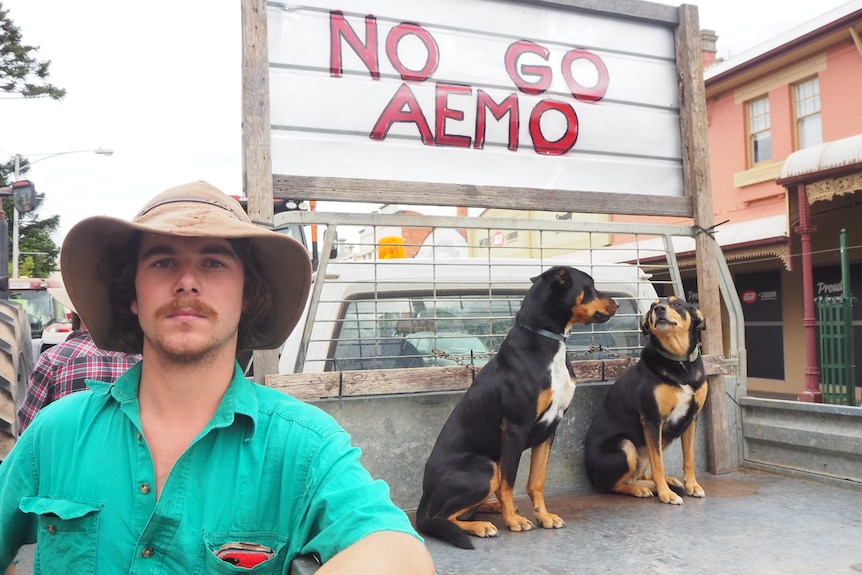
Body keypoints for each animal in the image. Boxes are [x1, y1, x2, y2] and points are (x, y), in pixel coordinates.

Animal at [416, 268, 616, 552]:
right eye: (590, 286)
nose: (616, 304)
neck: (548, 342)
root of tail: (424, 496)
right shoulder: (515, 428)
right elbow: (509, 483)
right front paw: (513, 521)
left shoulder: (549, 429)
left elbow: (536, 481)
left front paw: (543, 517)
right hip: (486, 467)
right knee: (442, 517)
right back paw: (482, 525)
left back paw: (490, 508)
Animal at [584, 296, 704, 504]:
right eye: (652, 306)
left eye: (677, 303)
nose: (659, 309)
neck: (679, 360)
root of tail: (591, 475)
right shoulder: (652, 420)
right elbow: (659, 465)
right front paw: (666, 495)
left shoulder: (691, 419)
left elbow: (689, 459)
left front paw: (692, 485)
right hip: (626, 446)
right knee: (613, 485)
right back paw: (641, 489)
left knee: (639, 474)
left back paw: (663, 482)